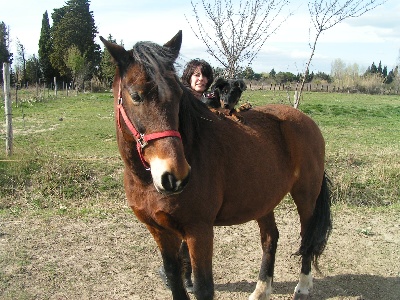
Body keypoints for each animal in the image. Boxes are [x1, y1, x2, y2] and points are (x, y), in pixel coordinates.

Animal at [100, 31, 332, 300]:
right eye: (135, 95)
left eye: (178, 96)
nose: (175, 175)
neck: (146, 181)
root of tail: (307, 121)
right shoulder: (160, 231)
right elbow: (175, 278)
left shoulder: (198, 231)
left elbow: (203, 287)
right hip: (263, 199)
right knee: (270, 238)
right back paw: (261, 289)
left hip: (306, 196)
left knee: (307, 236)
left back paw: (303, 286)